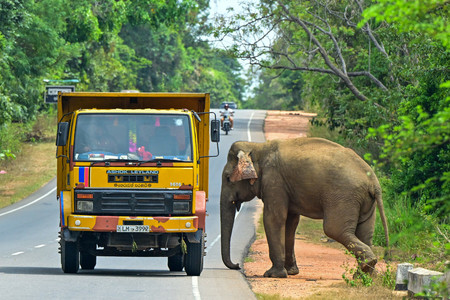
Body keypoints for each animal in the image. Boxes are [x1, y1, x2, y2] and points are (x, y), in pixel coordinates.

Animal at [220, 137, 388, 278]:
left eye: (228, 178)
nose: (237, 265)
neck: (257, 147)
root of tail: (373, 180)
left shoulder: (274, 181)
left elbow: (274, 219)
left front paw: (273, 275)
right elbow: (290, 222)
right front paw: (291, 272)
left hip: (345, 196)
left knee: (334, 229)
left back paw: (365, 268)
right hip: (365, 201)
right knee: (365, 232)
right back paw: (365, 275)